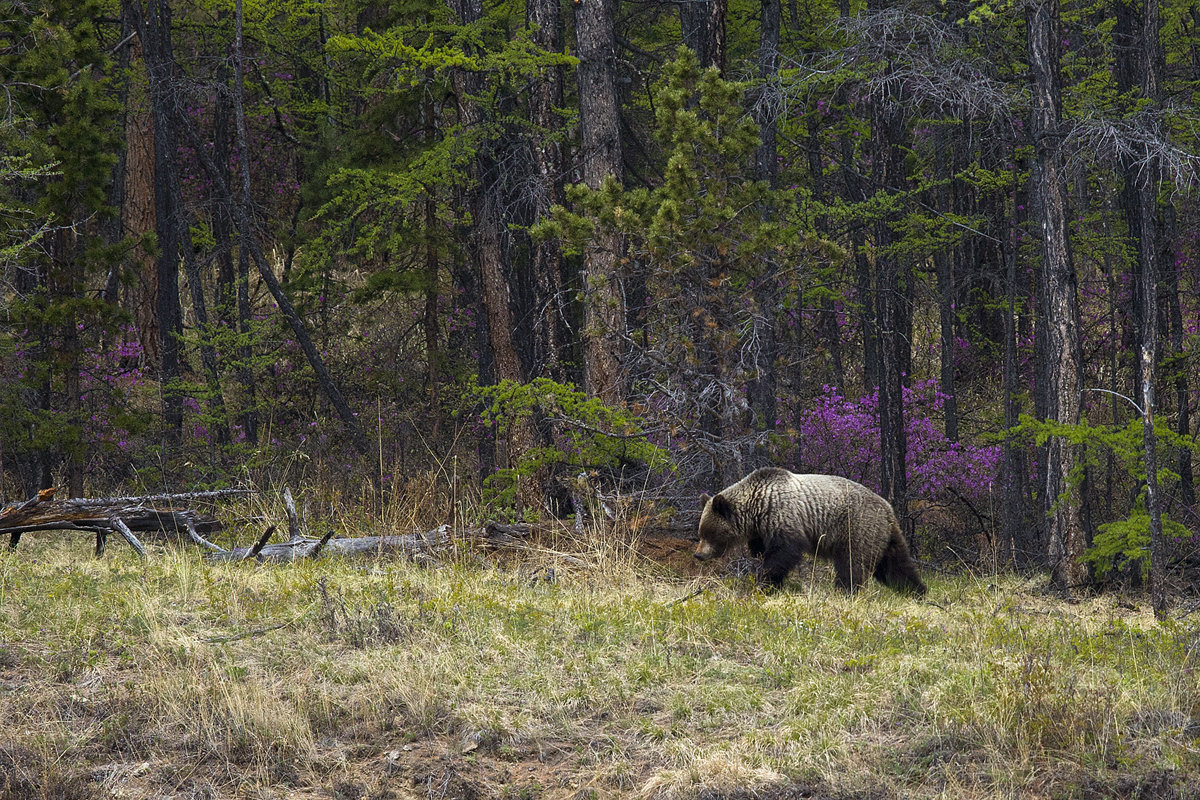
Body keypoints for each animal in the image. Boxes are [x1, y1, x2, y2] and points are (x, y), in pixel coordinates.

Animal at [696, 470, 926, 594]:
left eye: (708, 533)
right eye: (701, 532)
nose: (698, 554)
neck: (757, 509)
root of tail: (888, 509)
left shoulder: (784, 517)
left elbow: (783, 554)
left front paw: (766, 583)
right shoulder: (761, 531)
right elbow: (762, 552)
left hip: (857, 527)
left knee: (852, 563)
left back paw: (845, 591)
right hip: (882, 535)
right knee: (896, 565)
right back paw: (917, 591)